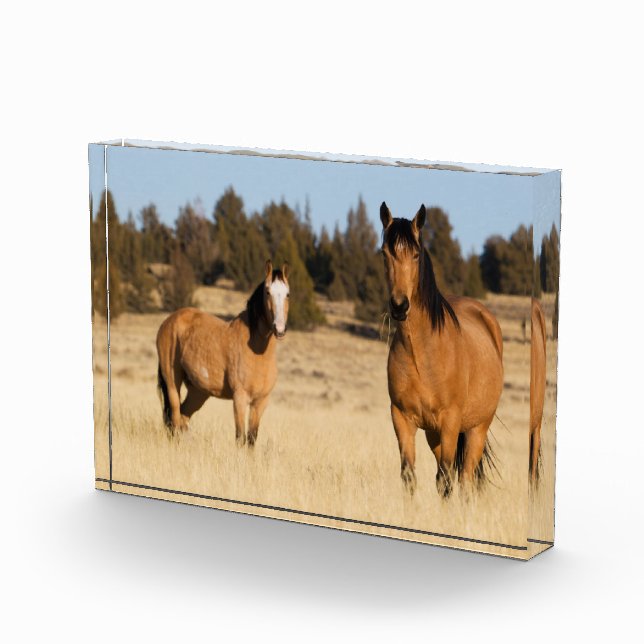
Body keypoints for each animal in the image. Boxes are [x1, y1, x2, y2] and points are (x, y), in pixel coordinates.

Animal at [156, 260, 290, 447]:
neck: (257, 352)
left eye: (287, 294)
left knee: (182, 417)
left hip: (199, 391)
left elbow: (251, 439)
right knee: (174, 419)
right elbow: (240, 438)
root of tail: (169, 321)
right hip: (172, 382)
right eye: (268, 292)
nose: (280, 328)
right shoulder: (240, 398)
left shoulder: (260, 402)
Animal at [379, 202, 504, 498]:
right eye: (385, 253)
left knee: (465, 479)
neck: (422, 354)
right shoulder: (402, 418)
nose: (399, 306)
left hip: (476, 429)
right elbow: (409, 476)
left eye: (415, 255)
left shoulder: (450, 421)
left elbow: (448, 479)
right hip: (433, 434)